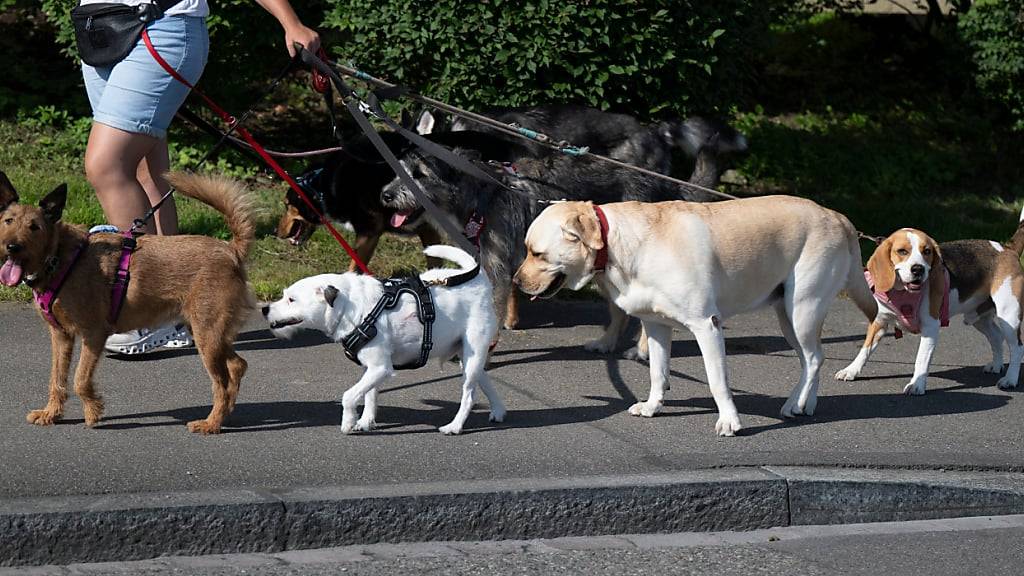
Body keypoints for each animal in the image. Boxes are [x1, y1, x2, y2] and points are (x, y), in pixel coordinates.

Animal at [0, 170, 254, 430]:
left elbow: (80, 379)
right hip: (209, 332)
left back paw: (211, 423)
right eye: (8, 221)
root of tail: (231, 250)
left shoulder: (94, 334)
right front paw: (51, 413)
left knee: (221, 383)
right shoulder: (61, 336)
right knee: (237, 365)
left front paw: (93, 411)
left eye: (34, 227)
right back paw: (225, 412)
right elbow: (57, 378)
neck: (59, 257)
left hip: (208, 336)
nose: (11, 247)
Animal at [262, 243, 505, 432]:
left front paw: (348, 422)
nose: (265, 309)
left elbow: (349, 396)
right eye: (284, 296)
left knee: (469, 395)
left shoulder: (380, 367)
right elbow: (369, 395)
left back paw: (454, 426)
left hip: (472, 355)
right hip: (468, 358)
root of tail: (478, 280)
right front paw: (365, 421)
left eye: (291, 300)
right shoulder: (370, 369)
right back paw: (498, 410)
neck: (354, 308)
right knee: (485, 381)